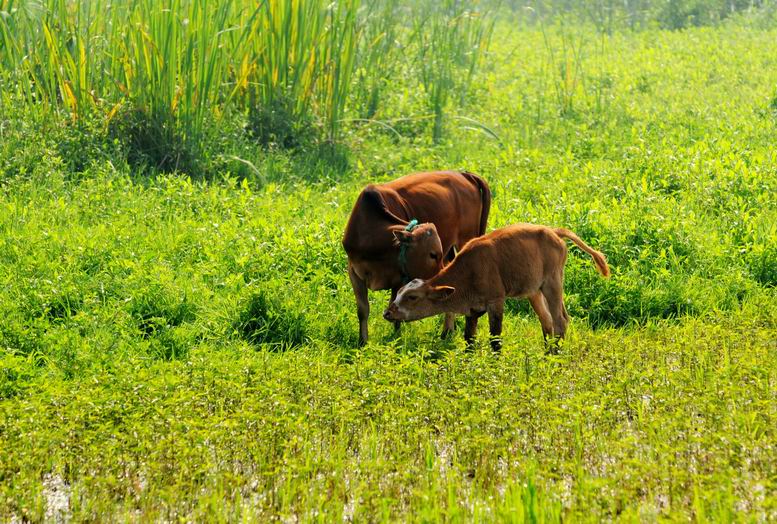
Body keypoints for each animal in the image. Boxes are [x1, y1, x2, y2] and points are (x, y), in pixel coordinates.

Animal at [342, 170, 488, 346]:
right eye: (433, 254)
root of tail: (463, 173)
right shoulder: (354, 272)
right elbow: (363, 310)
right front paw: (362, 342)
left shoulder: (399, 278)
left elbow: (395, 309)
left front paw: (396, 340)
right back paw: (448, 330)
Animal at [384, 224, 608, 352]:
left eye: (412, 297)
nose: (388, 313)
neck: (469, 270)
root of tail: (552, 231)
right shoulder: (472, 311)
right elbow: (469, 340)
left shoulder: (496, 302)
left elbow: (495, 339)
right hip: (535, 291)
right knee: (547, 321)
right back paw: (548, 353)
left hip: (552, 283)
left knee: (560, 321)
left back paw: (556, 356)